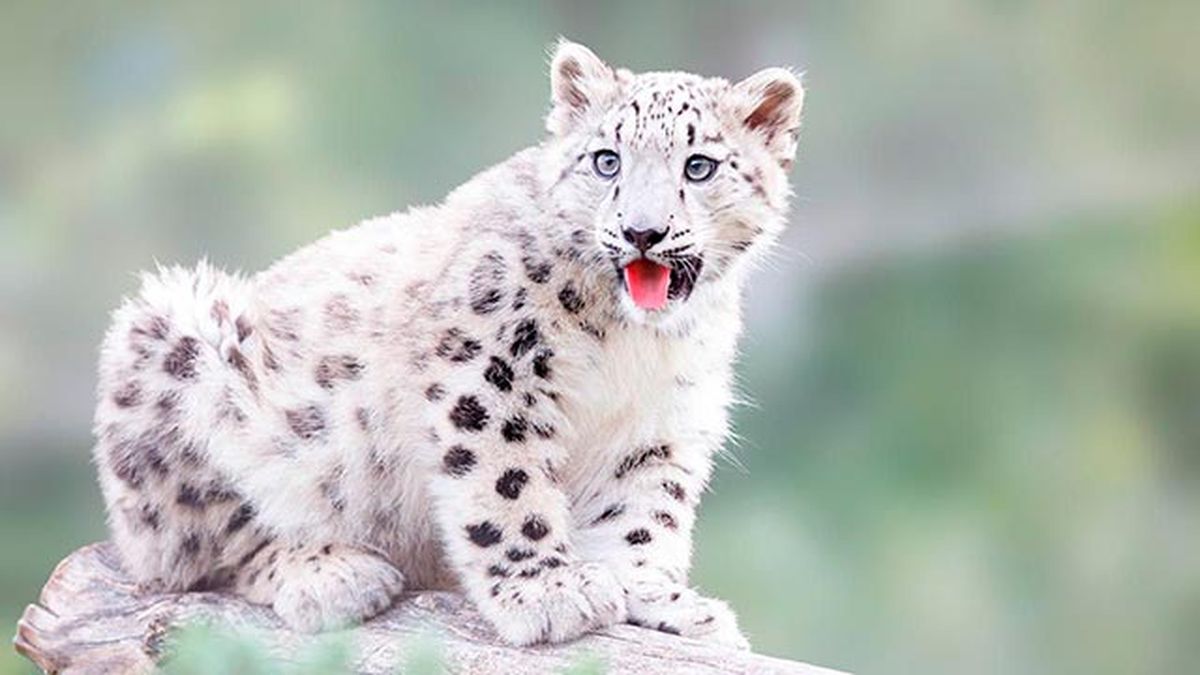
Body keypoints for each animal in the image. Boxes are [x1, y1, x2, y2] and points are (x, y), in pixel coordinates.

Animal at [91, 39, 804, 648]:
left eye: (698, 166)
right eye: (608, 161)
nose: (642, 232)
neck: (632, 344)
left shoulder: (659, 425)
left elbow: (641, 517)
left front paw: (659, 600)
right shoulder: (492, 370)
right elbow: (507, 482)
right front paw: (547, 592)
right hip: (172, 351)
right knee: (200, 549)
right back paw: (330, 571)